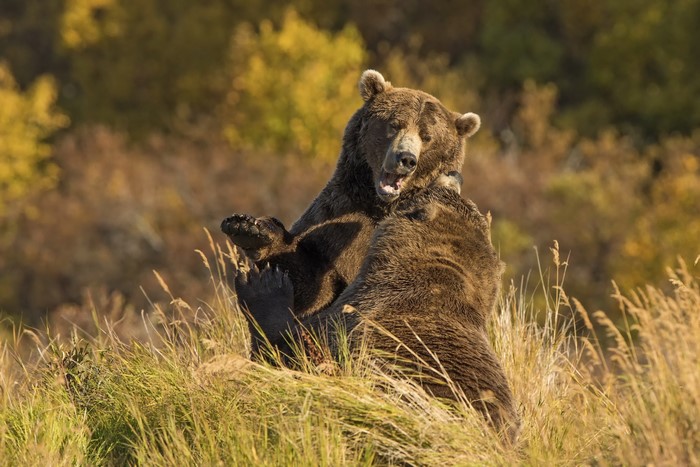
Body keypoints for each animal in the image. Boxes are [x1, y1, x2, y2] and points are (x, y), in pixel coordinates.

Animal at [221, 70, 481, 320]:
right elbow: (310, 281)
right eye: (394, 124)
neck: (379, 205)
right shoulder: (336, 217)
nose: (405, 158)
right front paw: (249, 229)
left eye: (427, 136)